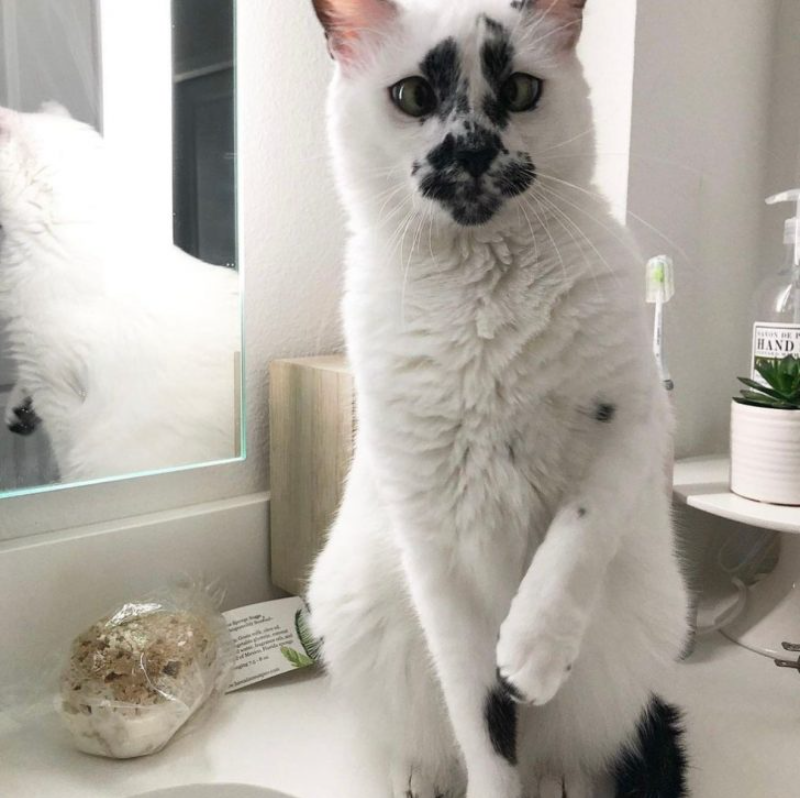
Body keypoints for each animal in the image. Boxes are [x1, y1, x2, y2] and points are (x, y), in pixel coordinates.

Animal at [306, 1, 692, 798]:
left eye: (518, 89)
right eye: (413, 95)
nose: (473, 149)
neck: (482, 286)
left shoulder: (638, 419)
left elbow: (577, 532)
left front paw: (534, 650)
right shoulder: (434, 544)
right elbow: (482, 717)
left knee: (571, 749)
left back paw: (565, 778)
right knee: (434, 741)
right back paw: (415, 776)